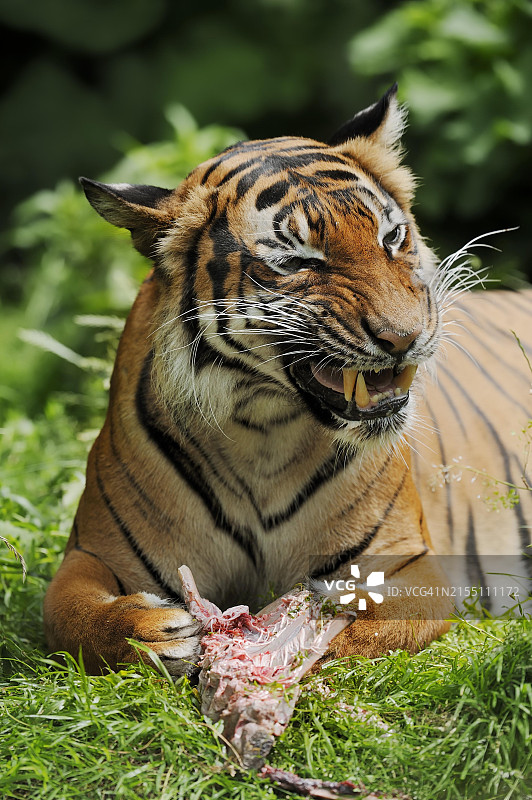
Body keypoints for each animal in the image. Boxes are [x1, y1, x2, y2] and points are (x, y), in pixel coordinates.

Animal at [43, 85, 532, 677]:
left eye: (392, 237)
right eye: (297, 261)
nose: (405, 337)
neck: (261, 428)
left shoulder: (409, 567)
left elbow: (345, 641)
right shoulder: (92, 551)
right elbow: (69, 613)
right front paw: (156, 634)